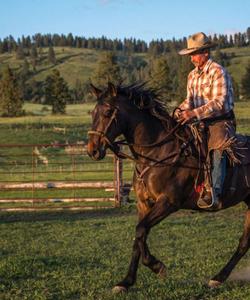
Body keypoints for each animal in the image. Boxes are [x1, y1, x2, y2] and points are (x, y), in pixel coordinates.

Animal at [86, 81, 250, 292]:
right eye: (93, 112)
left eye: (108, 112)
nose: (92, 150)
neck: (158, 153)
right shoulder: (144, 204)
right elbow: (139, 237)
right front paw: (126, 281)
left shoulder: (168, 203)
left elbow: (140, 230)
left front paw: (157, 266)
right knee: (244, 242)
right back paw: (218, 278)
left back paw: (218, 278)